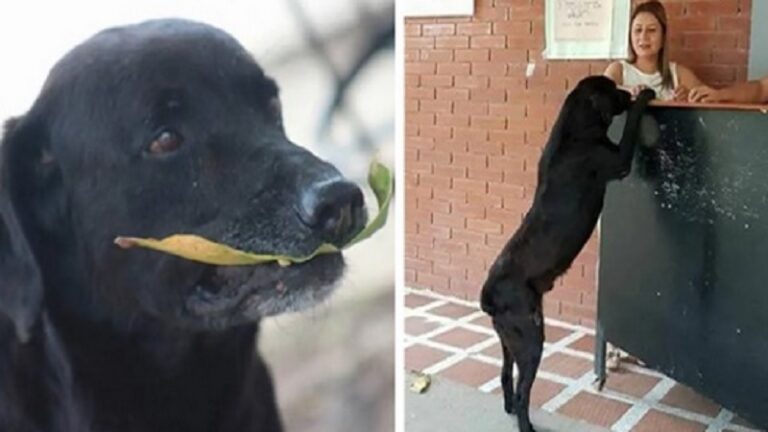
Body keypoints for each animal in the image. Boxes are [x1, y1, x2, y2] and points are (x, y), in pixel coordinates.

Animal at [480, 76, 656, 430]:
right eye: (612, 88)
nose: (626, 91)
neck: (576, 129)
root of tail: (488, 295)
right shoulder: (617, 160)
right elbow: (631, 126)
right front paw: (644, 96)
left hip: (508, 340)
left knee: (505, 375)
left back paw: (509, 409)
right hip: (531, 339)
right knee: (523, 390)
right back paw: (526, 425)